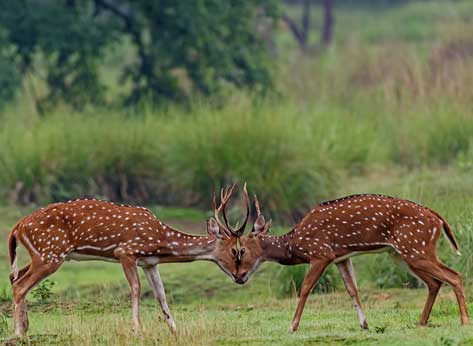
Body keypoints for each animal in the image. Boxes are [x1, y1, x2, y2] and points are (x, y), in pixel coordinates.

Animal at [7, 185, 249, 336]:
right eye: (235, 251)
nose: (241, 277)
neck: (161, 241)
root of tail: (18, 226)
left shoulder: (150, 262)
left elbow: (161, 294)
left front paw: (175, 330)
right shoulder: (126, 252)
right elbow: (136, 288)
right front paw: (137, 328)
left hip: (43, 254)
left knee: (14, 277)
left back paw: (26, 327)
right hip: (51, 253)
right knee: (20, 284)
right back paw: (18, 333)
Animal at [232, 193, 468, 332]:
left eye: (241, 250)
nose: (238, 276)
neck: (295, 244)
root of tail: (438, 219)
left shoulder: (321, 253)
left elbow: (305, 288)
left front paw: (292, 327)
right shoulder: (342, 258)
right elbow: (352, 289)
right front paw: (364, 325)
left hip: (416, 248)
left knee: (454, 275)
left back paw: (464, 321)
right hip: (402, 254)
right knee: (435, 282)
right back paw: (421, 322)